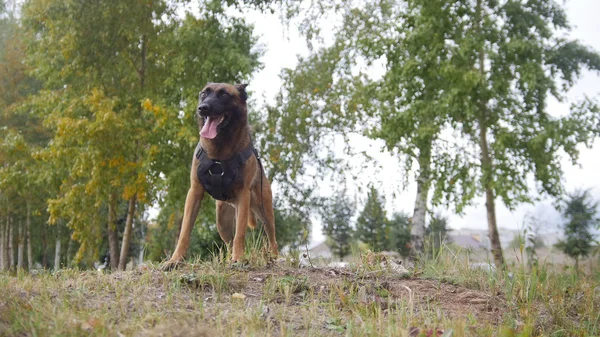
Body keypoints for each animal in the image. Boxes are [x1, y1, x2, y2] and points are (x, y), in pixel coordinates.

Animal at [162, 82, 278, 270]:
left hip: (264, 210)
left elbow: (240, 234)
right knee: (229, 242)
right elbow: (184, 232)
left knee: (271, 238)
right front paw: (175, 260)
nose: (203, 108)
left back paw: (273, 258)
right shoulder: (194, 193)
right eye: (204, 94)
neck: (220, 151)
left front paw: (239, 259)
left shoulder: (243, 194)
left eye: (224, 95)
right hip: (222, 222)